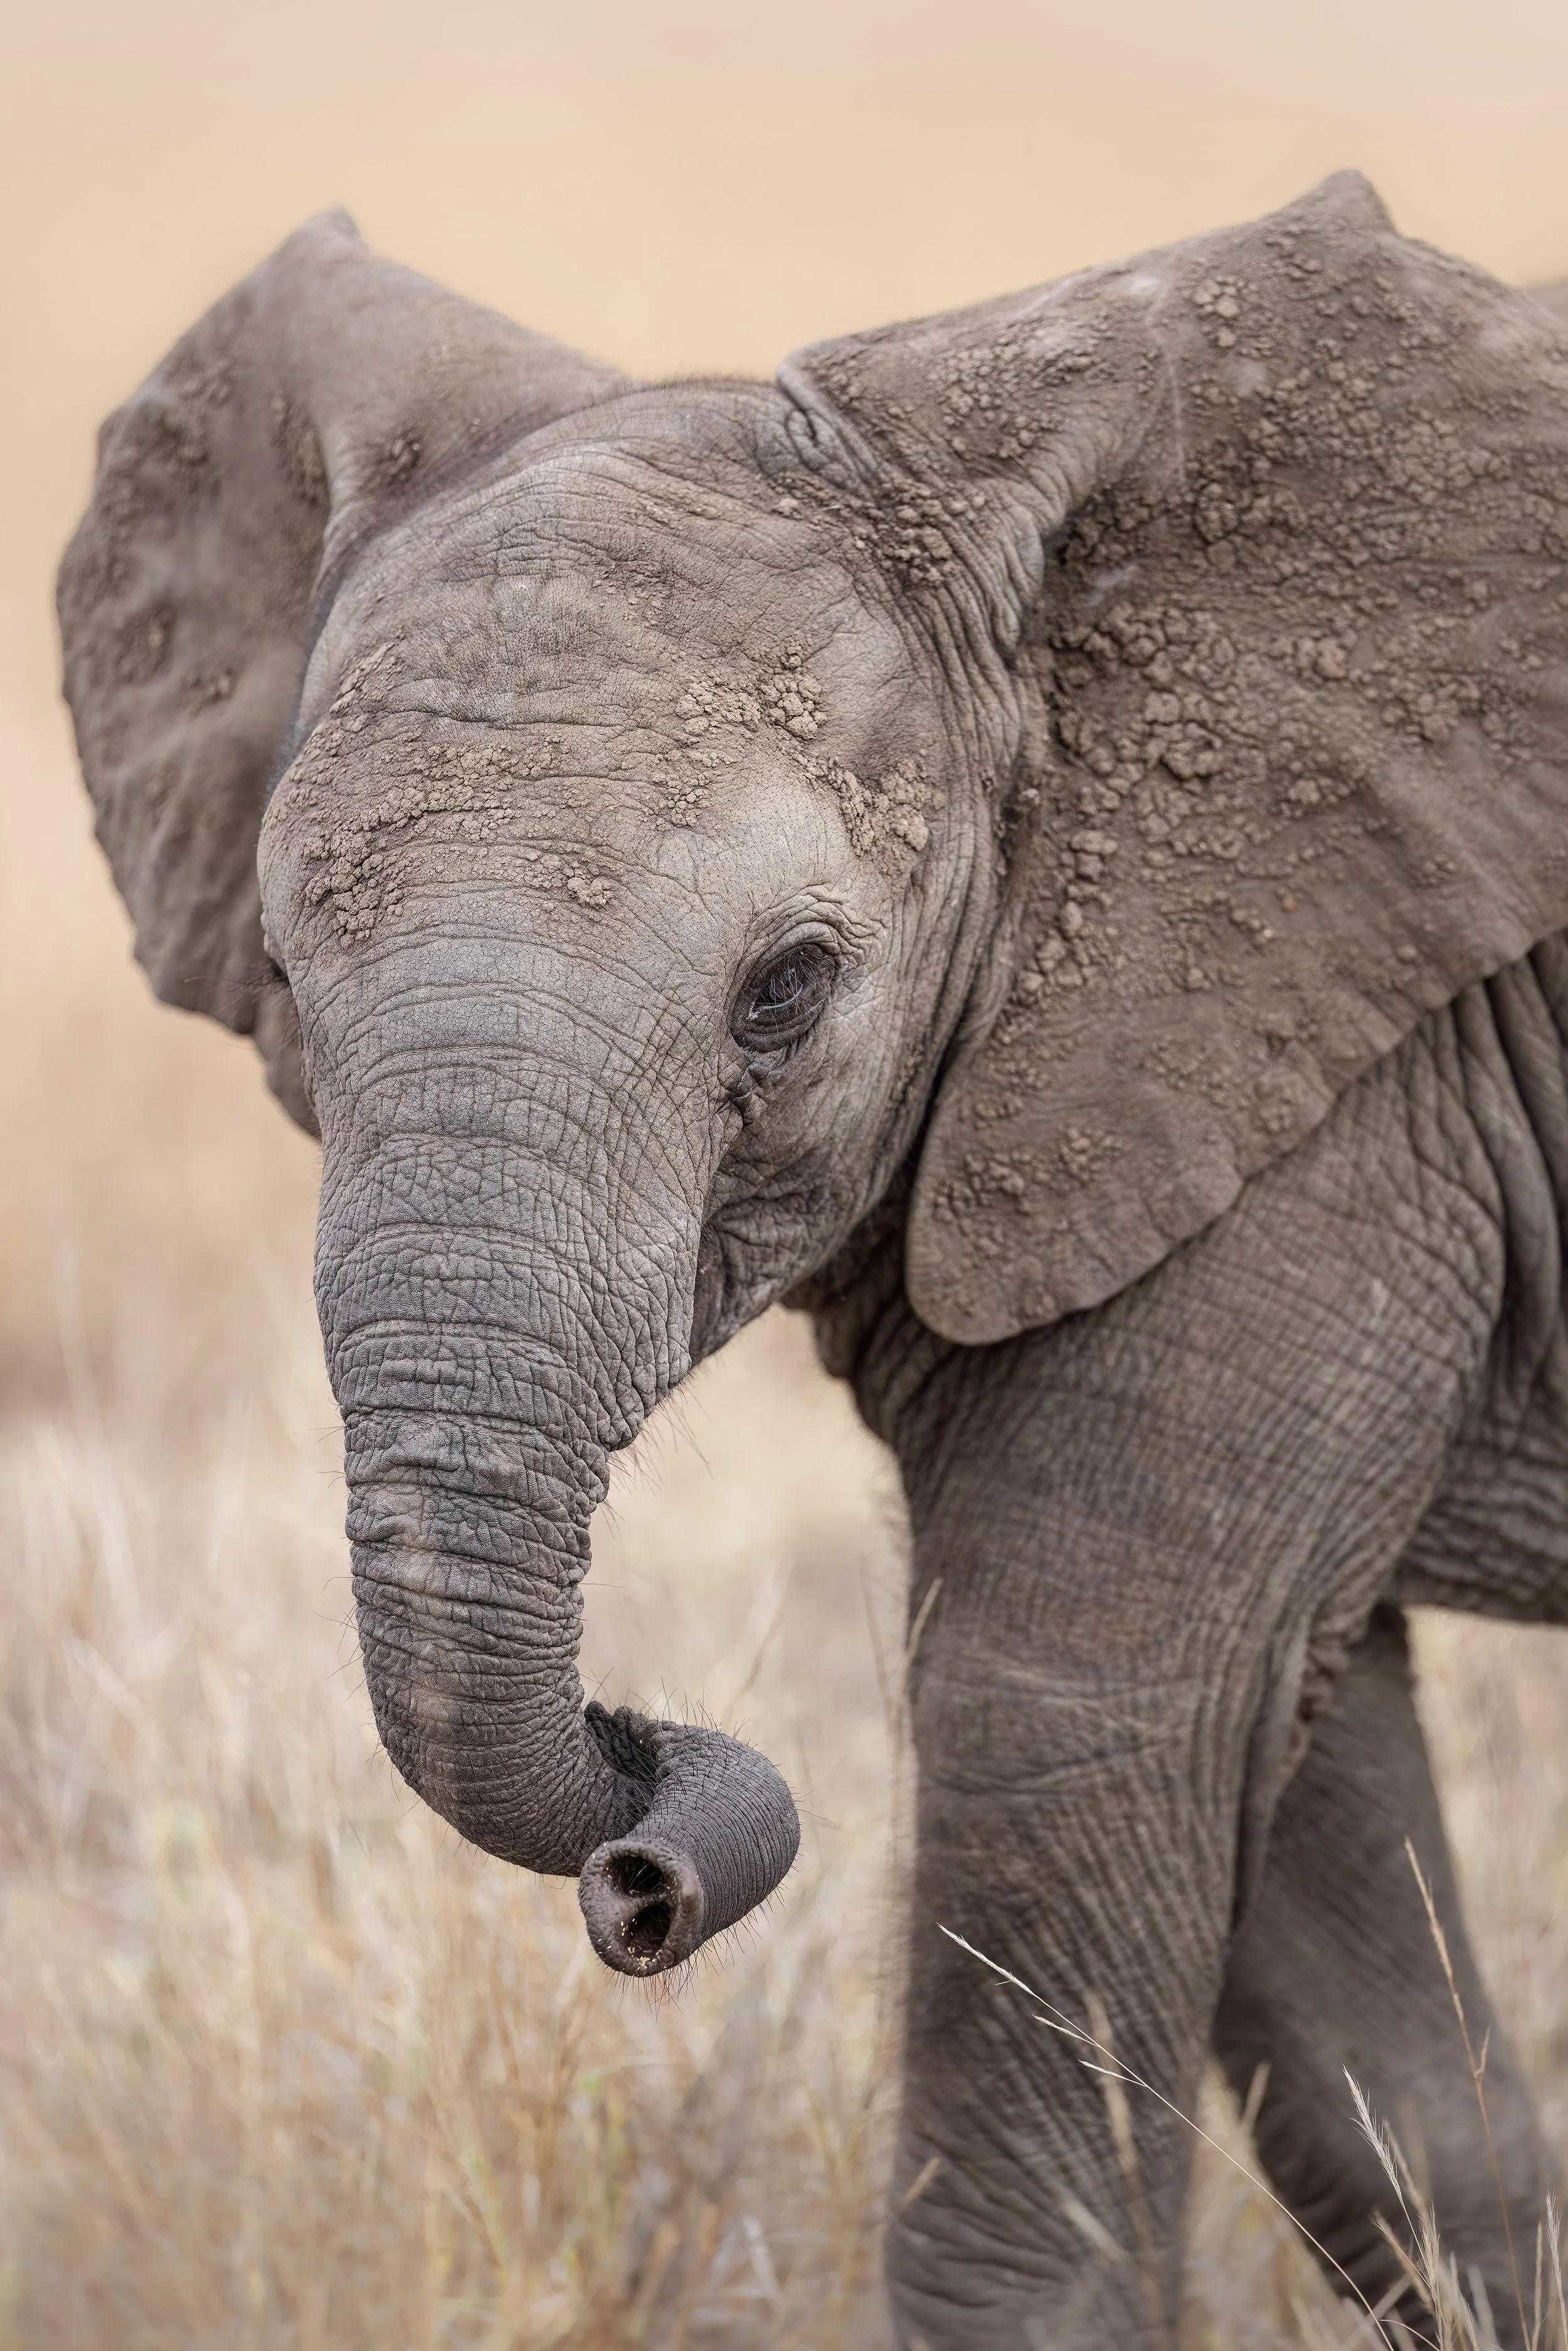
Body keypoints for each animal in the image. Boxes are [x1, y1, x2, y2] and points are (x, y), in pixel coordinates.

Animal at [56, 173, 1568, 2346]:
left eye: (784, 991)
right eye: (280, 965)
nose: (641, 1870)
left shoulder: (1325, 1081)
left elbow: (1069, 1722)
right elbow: (1331, 1915)